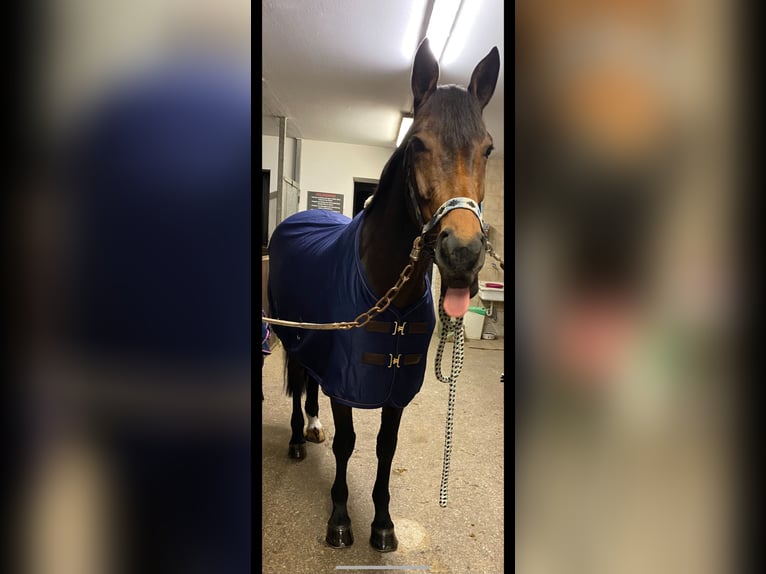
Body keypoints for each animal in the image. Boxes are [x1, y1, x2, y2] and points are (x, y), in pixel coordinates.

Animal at [266, 38, 500, 552]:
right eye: (417, 144)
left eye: (488, 148)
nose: (463, 254)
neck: (389, 293)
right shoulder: (346, 379)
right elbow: (348, 443)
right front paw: (339, 520)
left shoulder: (394, 391)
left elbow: (385, 448)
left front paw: (382, 522)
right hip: (293, 335)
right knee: (299, 382)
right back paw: (297, 438)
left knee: (311, 383)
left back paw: (311, 425)